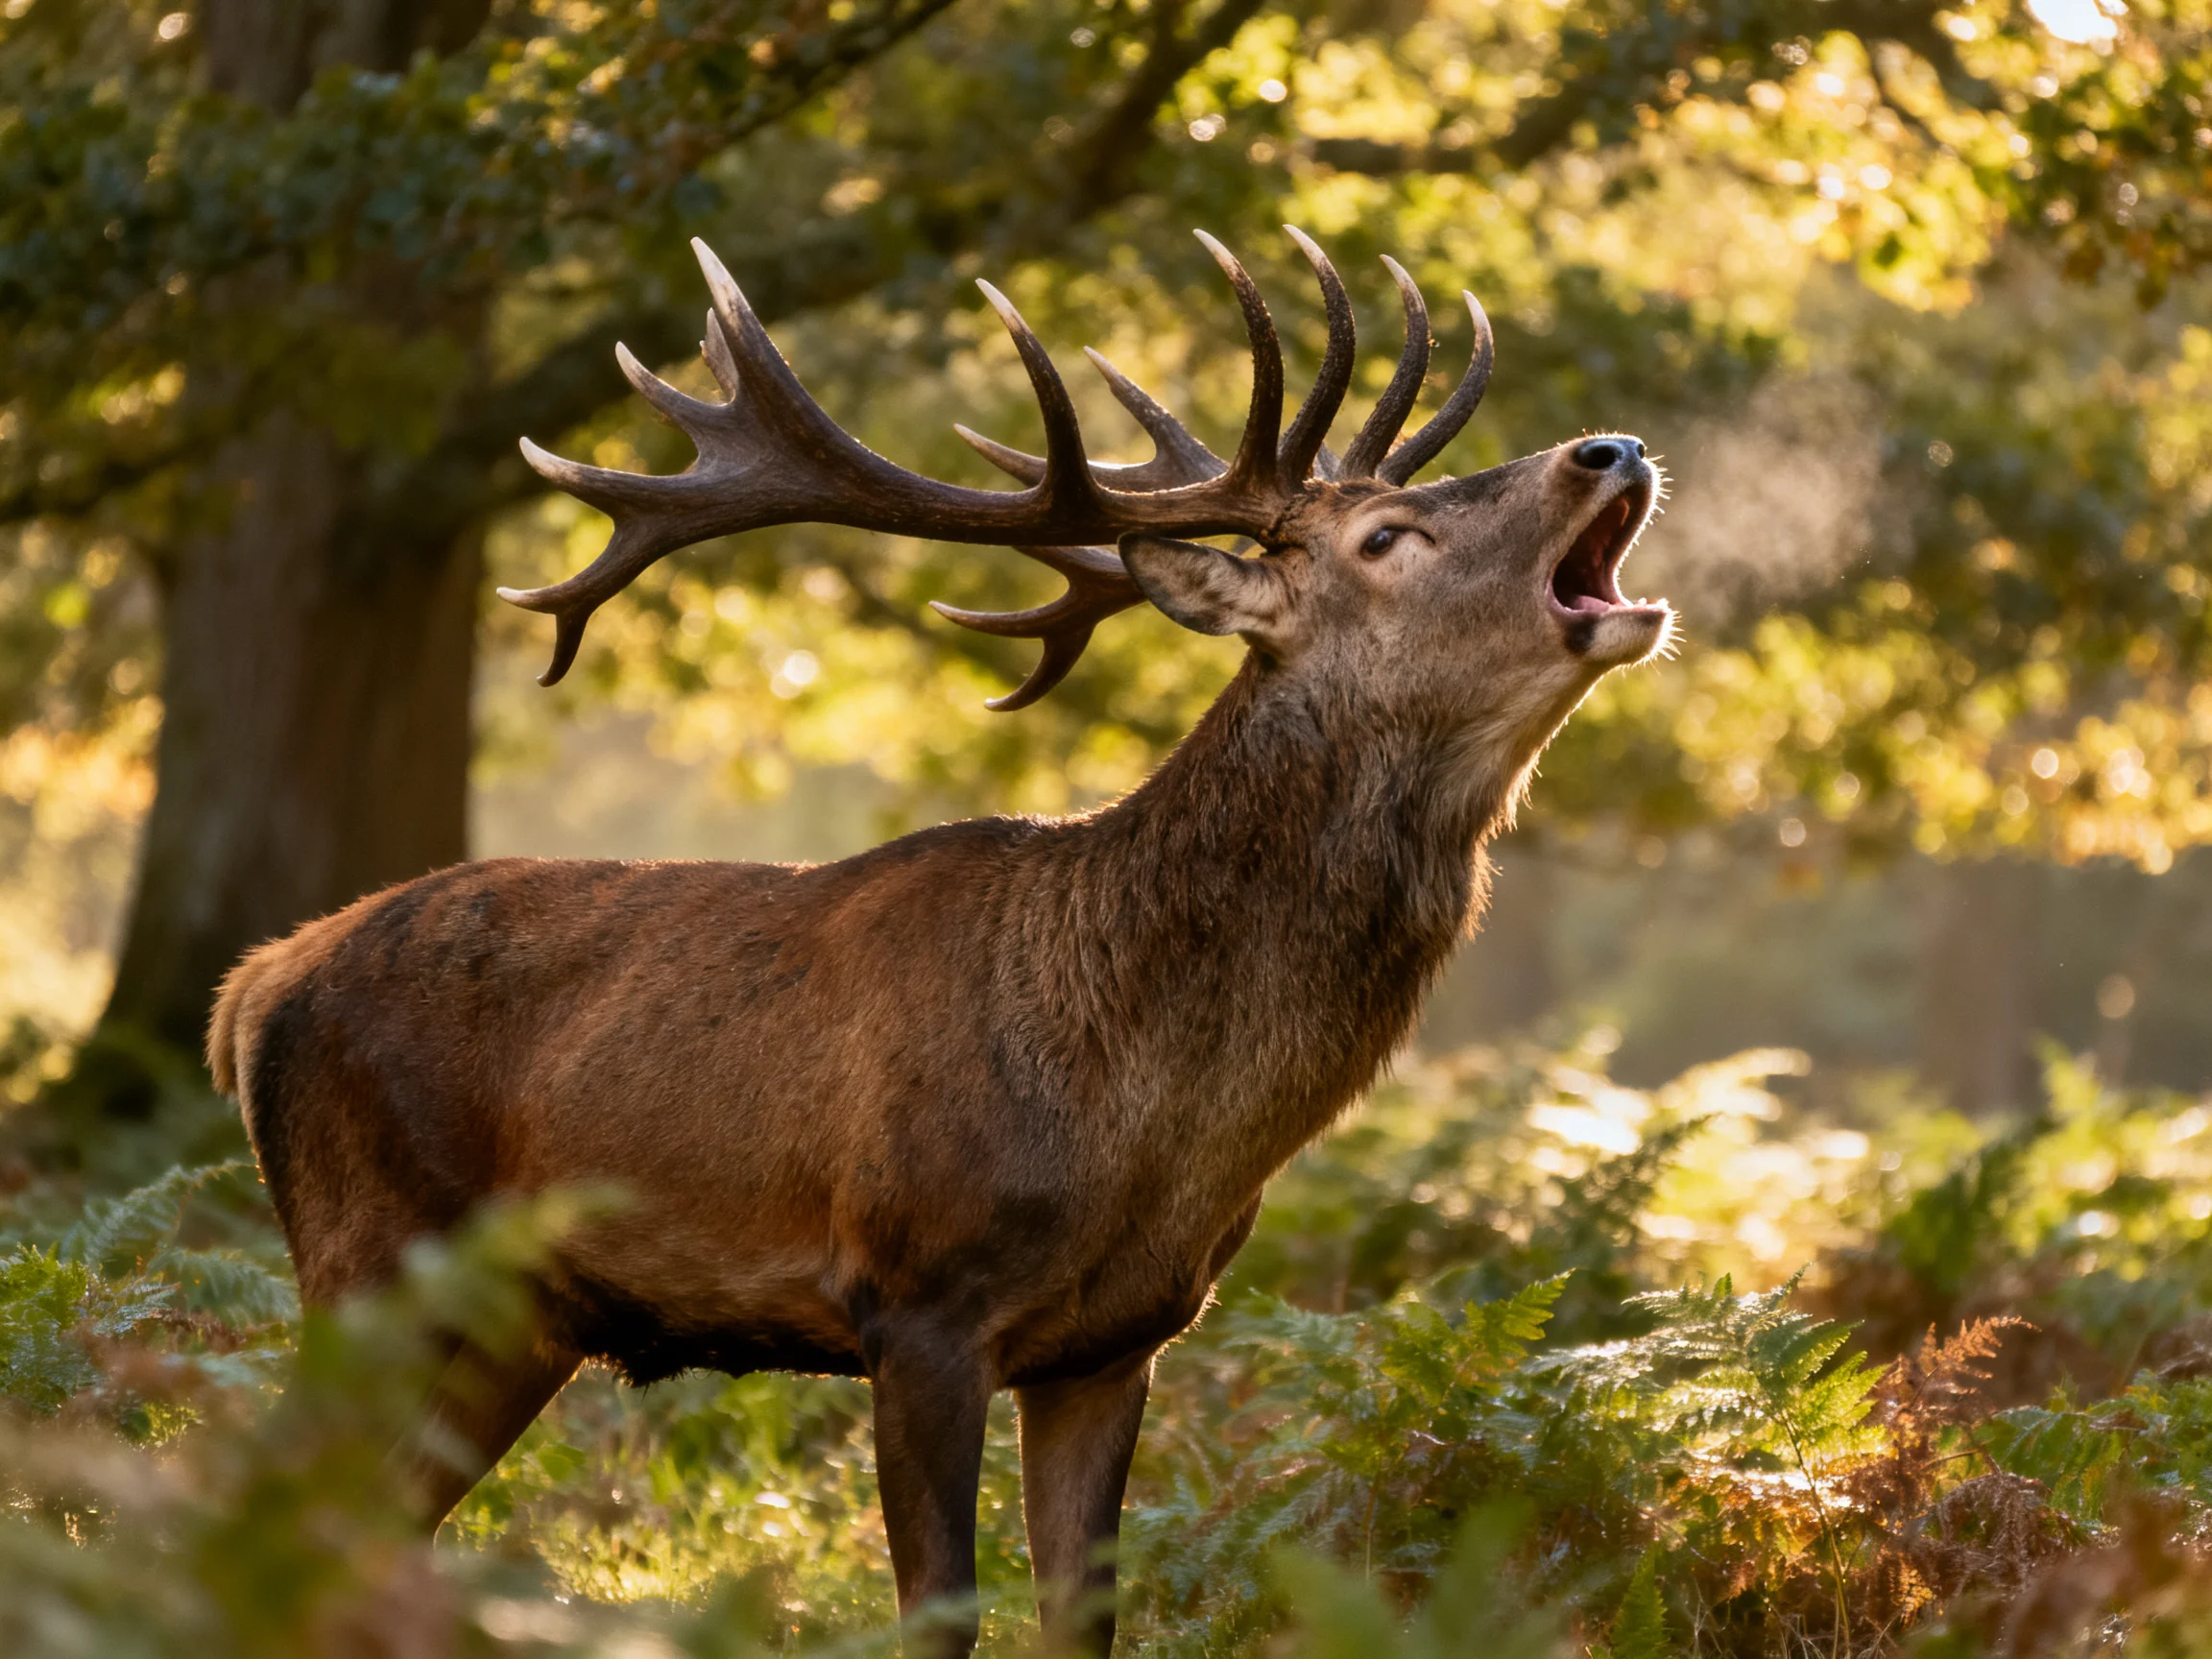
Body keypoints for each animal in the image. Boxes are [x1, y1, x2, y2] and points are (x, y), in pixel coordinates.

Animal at [207, 227, 1671, 1656]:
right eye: (1387, 535)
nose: (1612, 447)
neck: (1150, 1110)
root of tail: (256, 985)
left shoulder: (1115, 1343)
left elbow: (1082, 1619)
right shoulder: (915, 1299)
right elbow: (940, 1618)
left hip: (517, 1320)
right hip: (366, 1251)